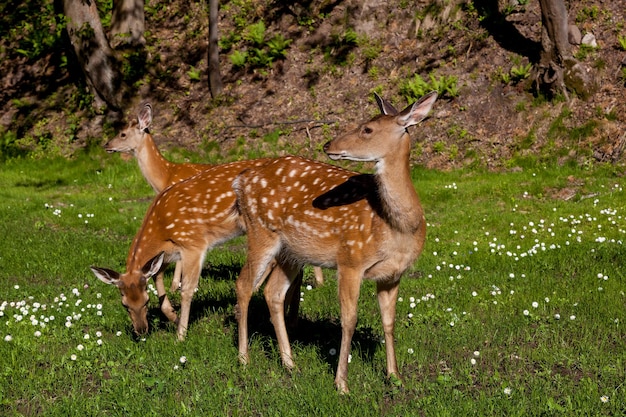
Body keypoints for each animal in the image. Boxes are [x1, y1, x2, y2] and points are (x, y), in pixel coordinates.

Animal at [229, 92, 434, 394]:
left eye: (367, 129)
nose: (328, 145)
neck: (397, 228)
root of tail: (240, 181)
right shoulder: (350, 260)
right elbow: (349, 321)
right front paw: (342, 384)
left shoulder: (393, 274)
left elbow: (389, 322)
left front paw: (394, 376)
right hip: (260, 232)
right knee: (244, 284)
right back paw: (244, 358)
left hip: (292, 251)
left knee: (272, 292)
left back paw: (290, 363)